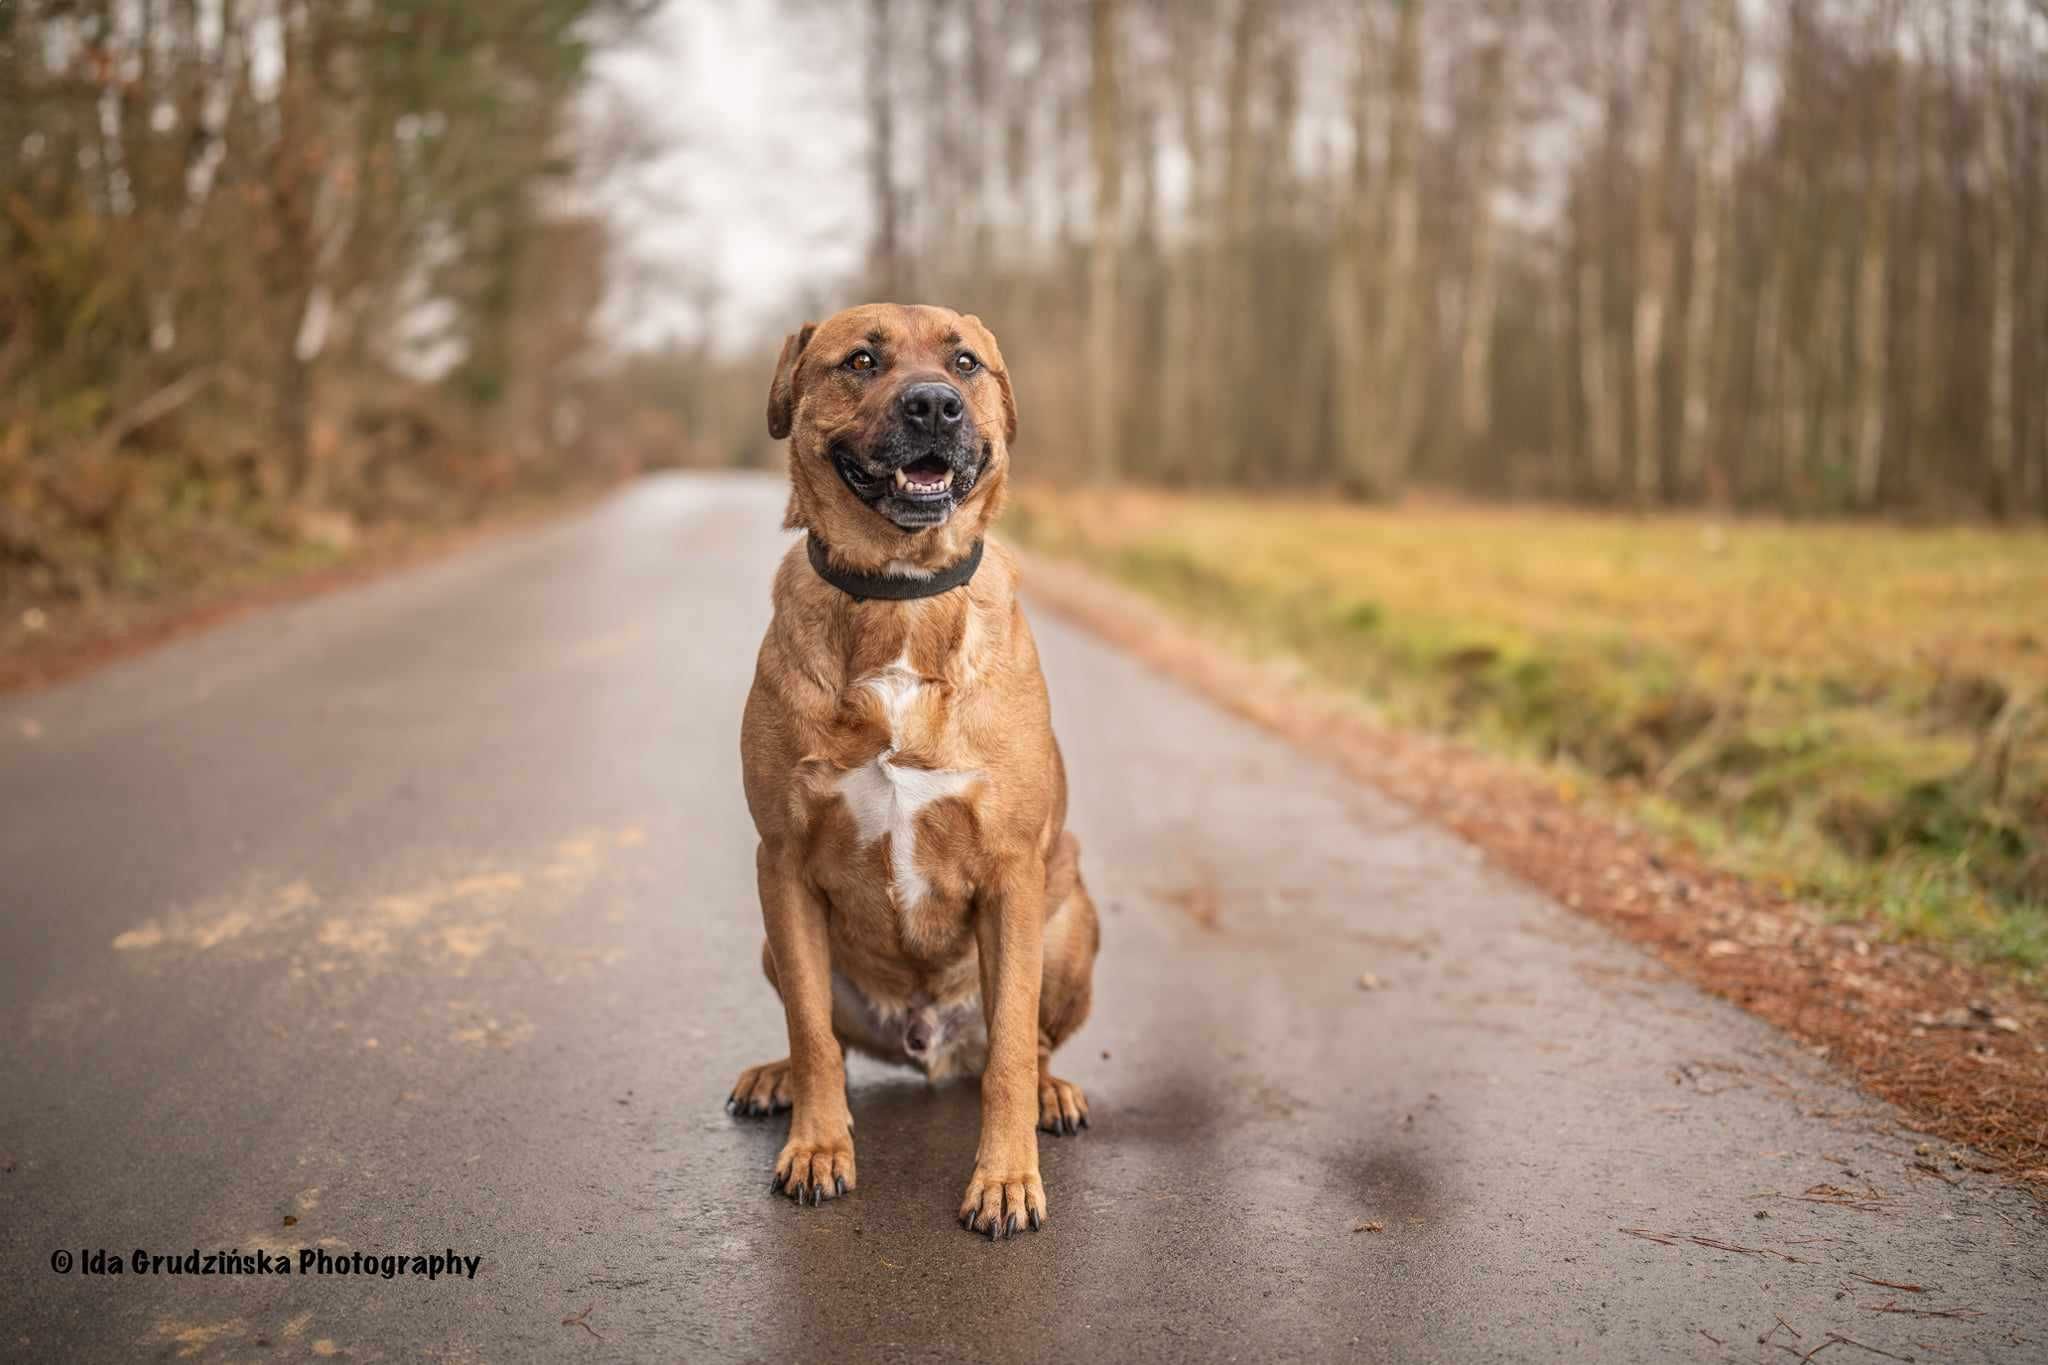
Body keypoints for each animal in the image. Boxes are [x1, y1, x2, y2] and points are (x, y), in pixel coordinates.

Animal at [729, 304, 1097, 1244]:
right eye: (862, 361)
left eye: (964, 363)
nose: (934, 405)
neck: (898, 596)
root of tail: (931, 1044)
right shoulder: (783, 862)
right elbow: (815, 1034)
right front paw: (818, 1146)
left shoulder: (1011, 872)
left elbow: (1009, 1052)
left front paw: (1004, 1178)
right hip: (775, 939)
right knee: (819, 1028)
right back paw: (774, 1075)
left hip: (1071, 916)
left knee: (1028, 1043)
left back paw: (1052, 1091)